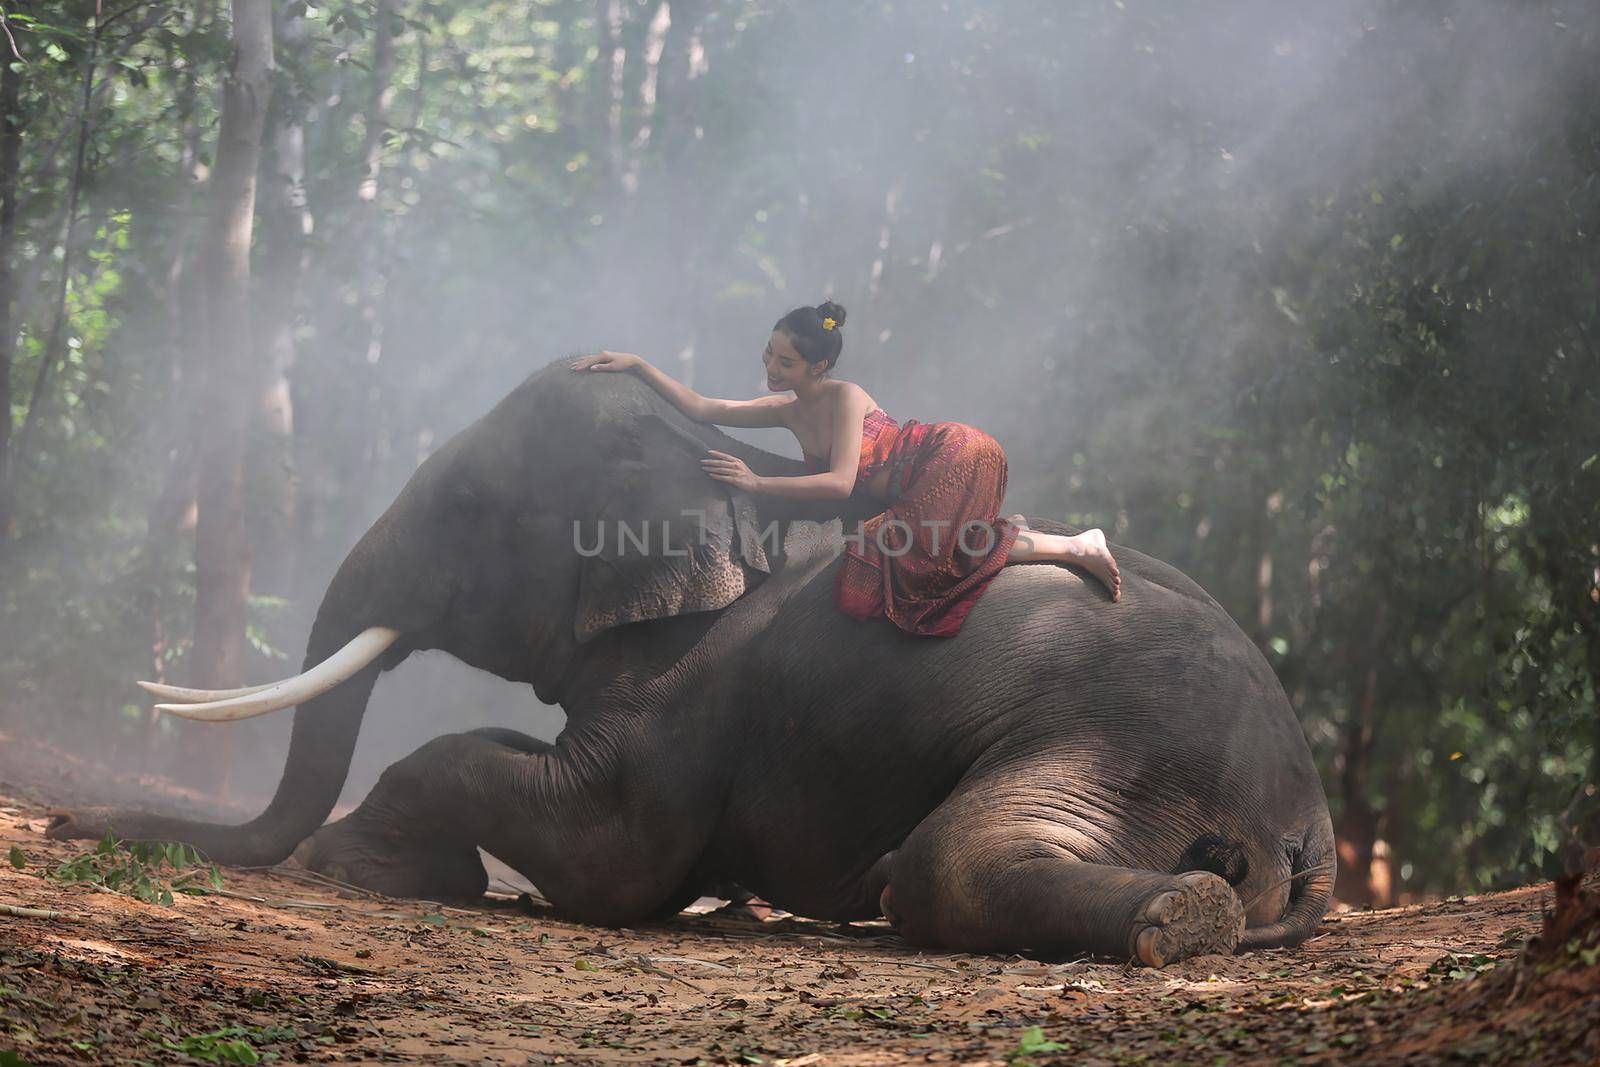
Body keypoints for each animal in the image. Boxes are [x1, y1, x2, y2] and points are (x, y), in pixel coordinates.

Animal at [50, 361, 1331, 966]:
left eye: (463, 508)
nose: (62, 821)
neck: (707, 456)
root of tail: (1302, 809)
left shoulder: (693, 689)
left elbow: (611, 852)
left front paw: (355, 859)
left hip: (1123, 743)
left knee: (953, 861)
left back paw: (1179, 916)